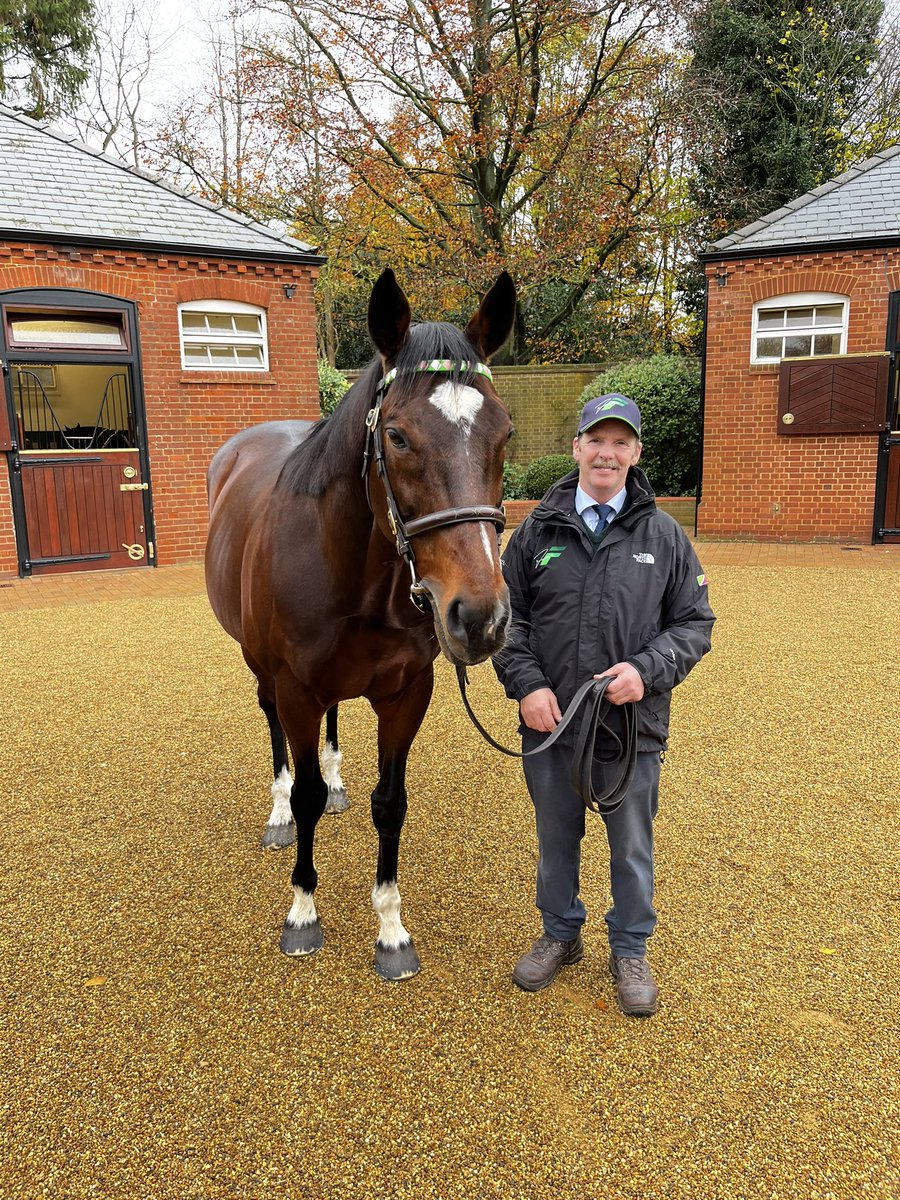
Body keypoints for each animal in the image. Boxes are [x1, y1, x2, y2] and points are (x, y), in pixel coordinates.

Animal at [205, 268, 516, 981]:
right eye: (397, 437)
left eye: (505, 433)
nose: (480, 617)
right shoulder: (296, 689)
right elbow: (306, 798)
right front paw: (302, 912)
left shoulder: (406, 694)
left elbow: (390, 803)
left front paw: (392, 929)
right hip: (262, 670)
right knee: (276, 737)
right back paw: (277, 811)